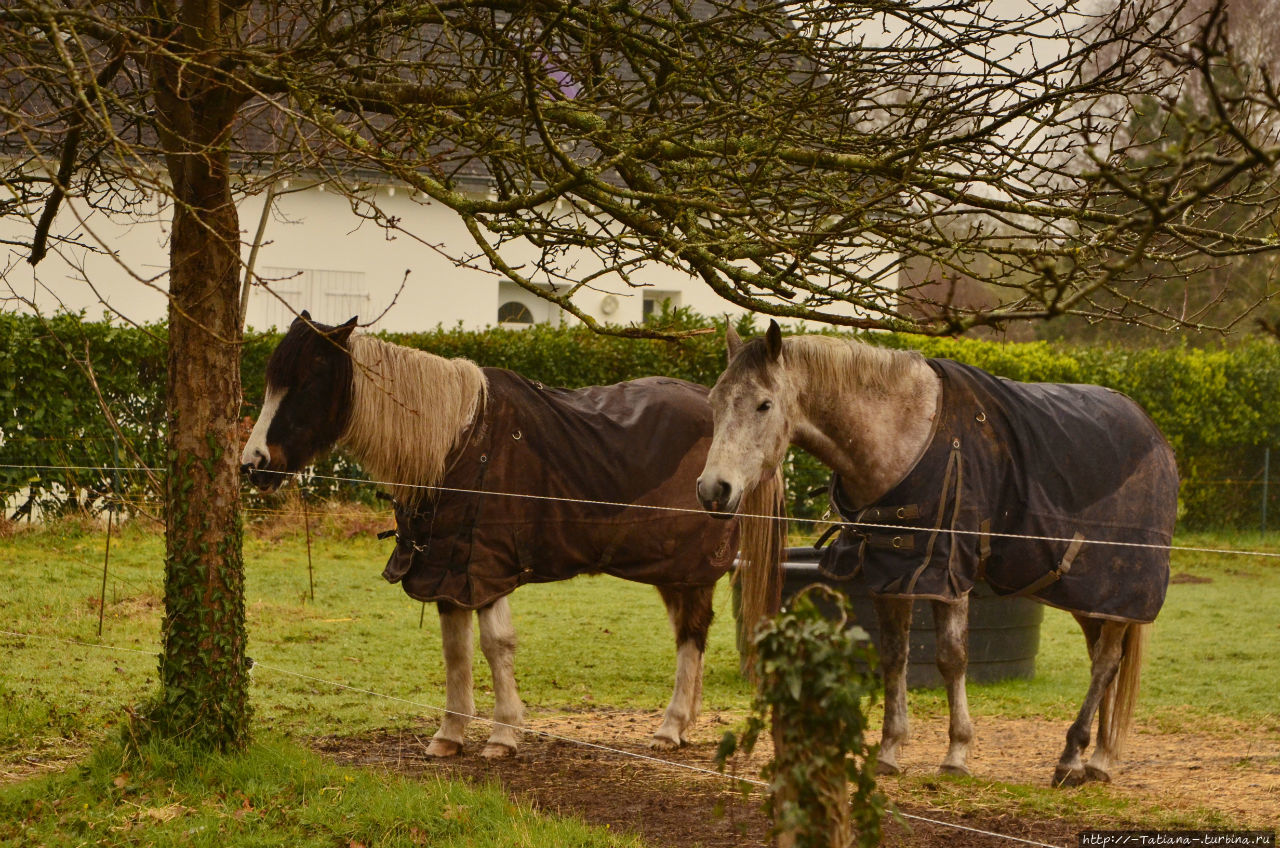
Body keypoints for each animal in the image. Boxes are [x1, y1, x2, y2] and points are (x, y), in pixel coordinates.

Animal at [238, 315, 778, 758]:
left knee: (692, 635)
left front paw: (503, 734)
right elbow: (455, 650)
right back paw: (683, 724)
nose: (253, 464)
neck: (454, 444)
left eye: (307, 381)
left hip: (692, 568)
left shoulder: (486, 568)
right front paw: (449, 735)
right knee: (689, 632)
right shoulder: (448, 572)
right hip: (671, 570)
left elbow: (496, 644)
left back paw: (669, 727)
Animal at [696, 322, 1172, 789]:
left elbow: (951, 658)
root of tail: (1155, 437)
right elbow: (894, 656)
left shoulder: (950, 575)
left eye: (764, 405)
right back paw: (1100, 758)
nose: (714, 489)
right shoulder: (889, 575)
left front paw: (956, 754)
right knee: (1105, 661)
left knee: (1106, 661)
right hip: (1085, 595)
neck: (903, 435)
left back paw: (1074, 757)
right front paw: (889, 751)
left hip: (1118, 591)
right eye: (715, 401)